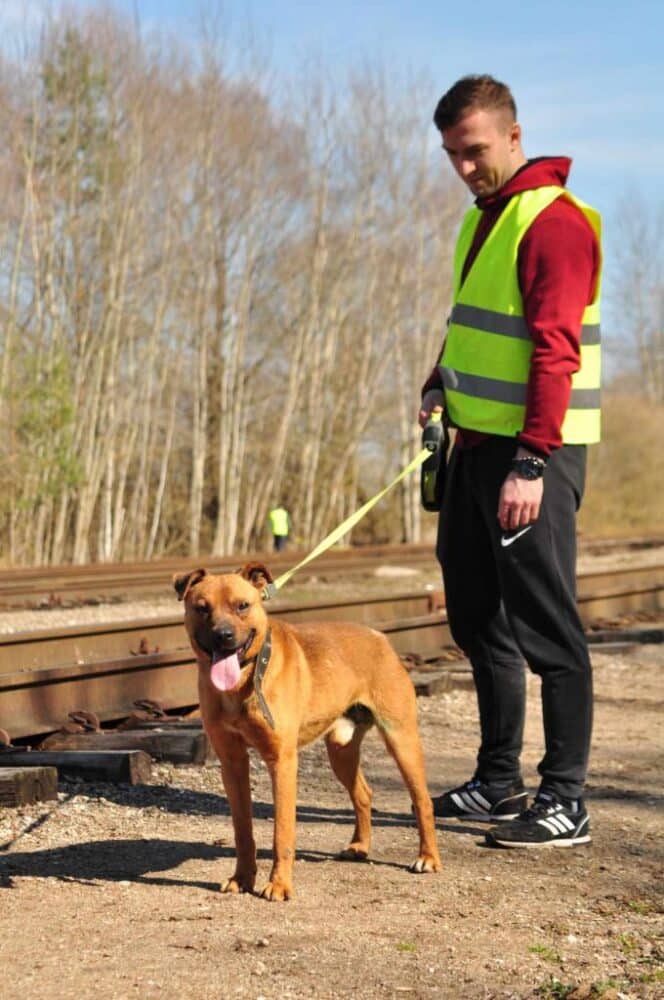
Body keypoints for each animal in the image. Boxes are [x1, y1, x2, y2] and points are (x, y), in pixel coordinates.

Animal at [174, 562, 441, 900]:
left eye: (242, 605)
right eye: (202, 608)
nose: (224, 636)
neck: (244, 680)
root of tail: (379, 637)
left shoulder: (282, 762)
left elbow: (282, 833)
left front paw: (278, 885)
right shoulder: (232, 762)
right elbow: (243, 830)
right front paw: (242, 878)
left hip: (401, 739)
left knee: (422, 801)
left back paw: (428, 858)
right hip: (341, 751)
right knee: (363, 793)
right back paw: (359, 846)